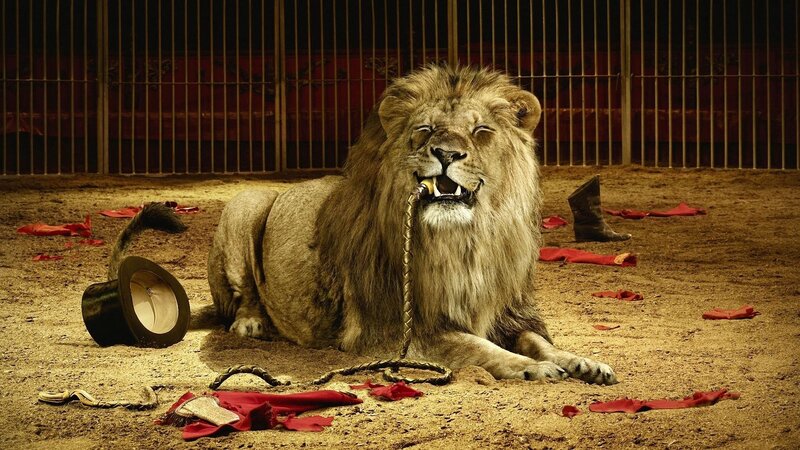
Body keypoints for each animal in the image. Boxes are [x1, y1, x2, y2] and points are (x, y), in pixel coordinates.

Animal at [208, 65, 617, 384]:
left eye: (481, 131)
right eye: (425, 129)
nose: (446, 153)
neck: (464, 243)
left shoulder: (509, 313)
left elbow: (540, 341)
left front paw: (583, 362)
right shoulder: (393, 331)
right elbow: (476, 347)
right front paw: (532, 367)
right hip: (246, 204)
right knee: (244, 293)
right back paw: (251, 324)